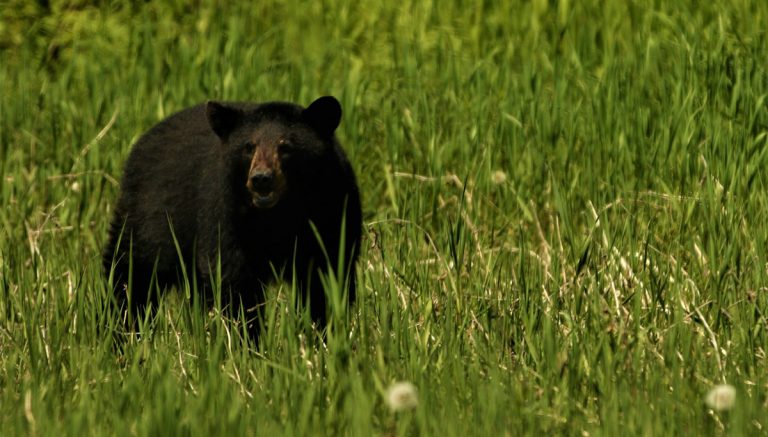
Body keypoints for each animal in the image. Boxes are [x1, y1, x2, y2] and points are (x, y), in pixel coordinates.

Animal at [103, 96, 362, 334]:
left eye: (286, 146)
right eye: (249, 146)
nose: (261, 179)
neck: (277, 215)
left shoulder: (332, 209)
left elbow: (327, 275)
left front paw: (322, 333)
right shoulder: (225, 214)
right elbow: (233, 279)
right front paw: (248, 338)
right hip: (148, 216)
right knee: (132, 273)